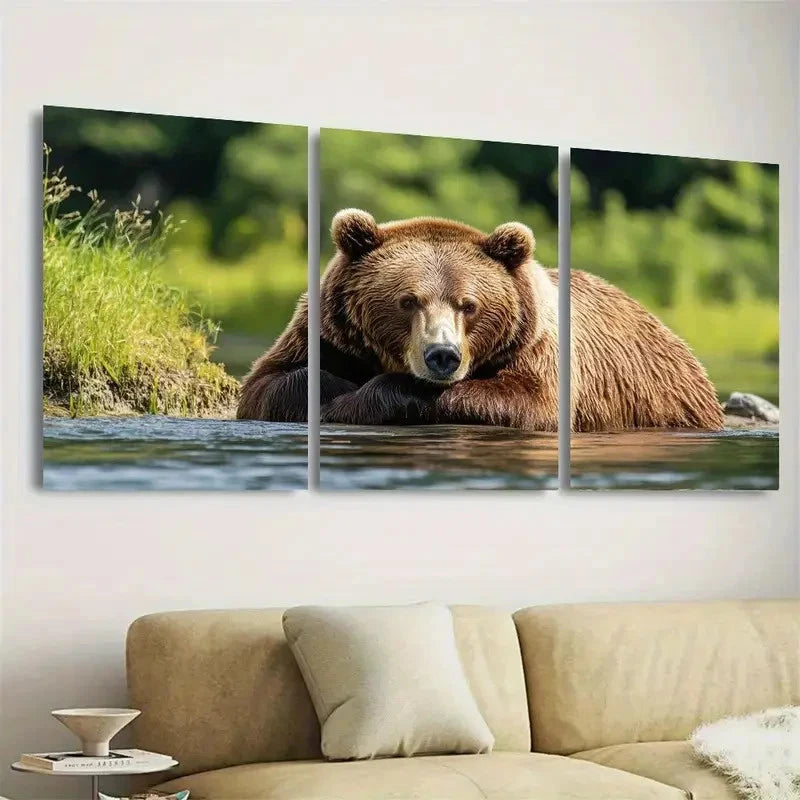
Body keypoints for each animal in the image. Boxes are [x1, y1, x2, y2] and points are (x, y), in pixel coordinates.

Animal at [237, 209, 724, 432]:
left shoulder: (536, 348)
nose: (442, 356)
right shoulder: (324, 332)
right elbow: (271, 382)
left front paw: (365, 398)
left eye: (468, 304)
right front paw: (336, 393)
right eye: (407, 301)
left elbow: (529, 402)